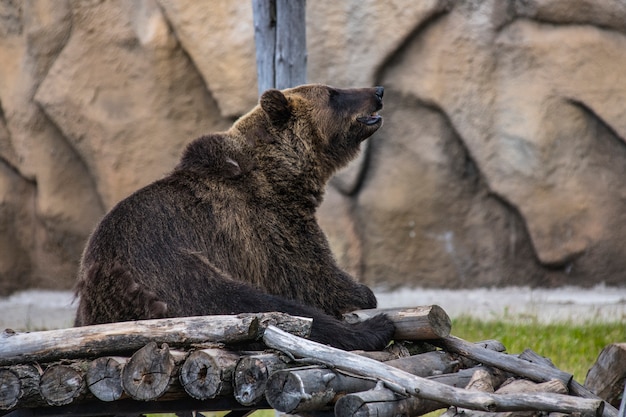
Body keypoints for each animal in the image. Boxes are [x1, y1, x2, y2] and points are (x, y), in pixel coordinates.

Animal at [73, 84, 392, 352]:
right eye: (333, 93)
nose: (378, 91)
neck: (283, 173)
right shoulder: (269, 222)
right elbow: (312, 275)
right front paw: (364, 294)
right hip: (167, 266)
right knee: (252, 305)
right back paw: (374, 328)